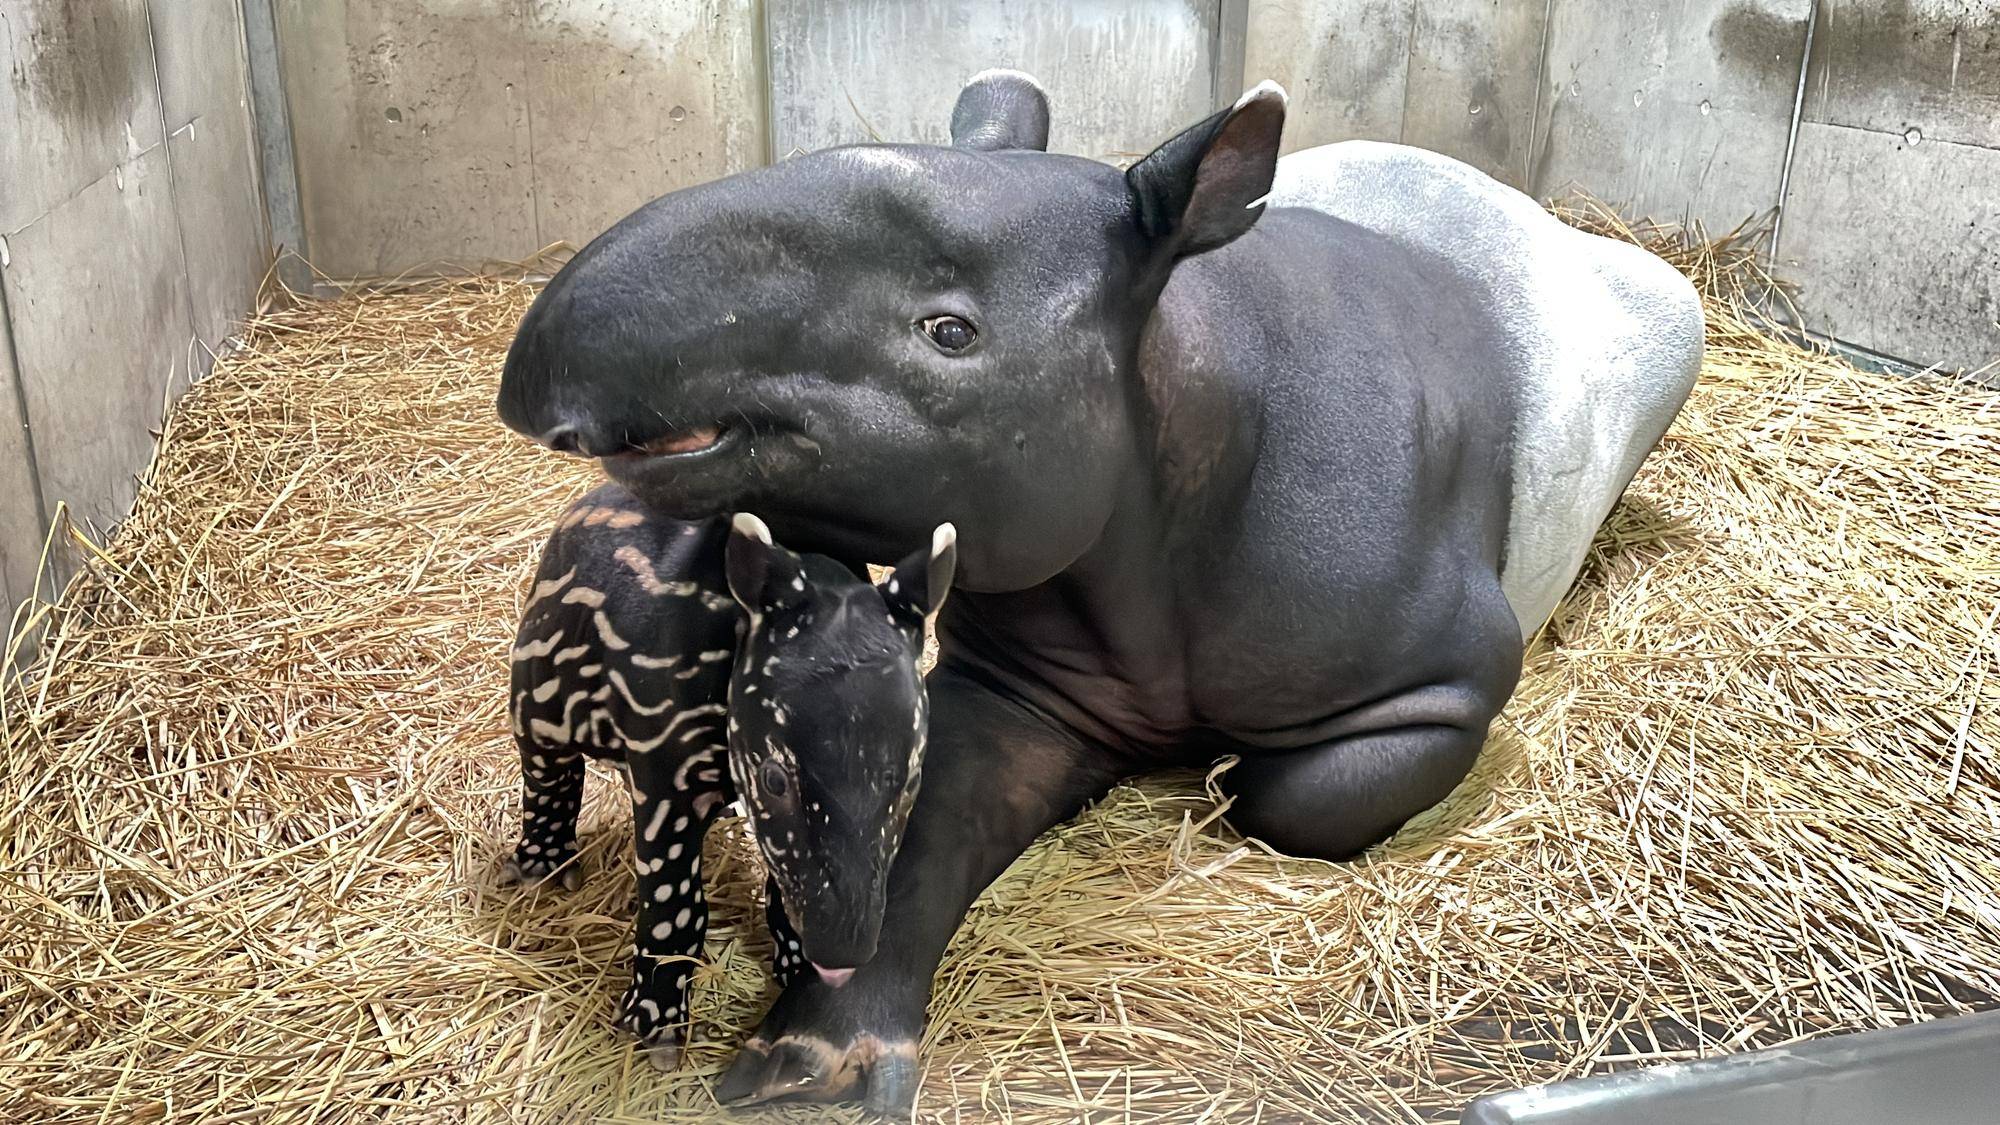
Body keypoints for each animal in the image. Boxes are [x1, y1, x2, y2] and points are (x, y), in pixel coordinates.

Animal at [508, 484, 960, 1056]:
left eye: (912, 780)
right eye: (774, 779)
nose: (842, 956)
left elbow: (783, 879)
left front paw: (794, 963)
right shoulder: (663, 769)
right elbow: (672, 902)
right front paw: (655, 1025)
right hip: (539, 683)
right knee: (548, 766)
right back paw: (542, 866)